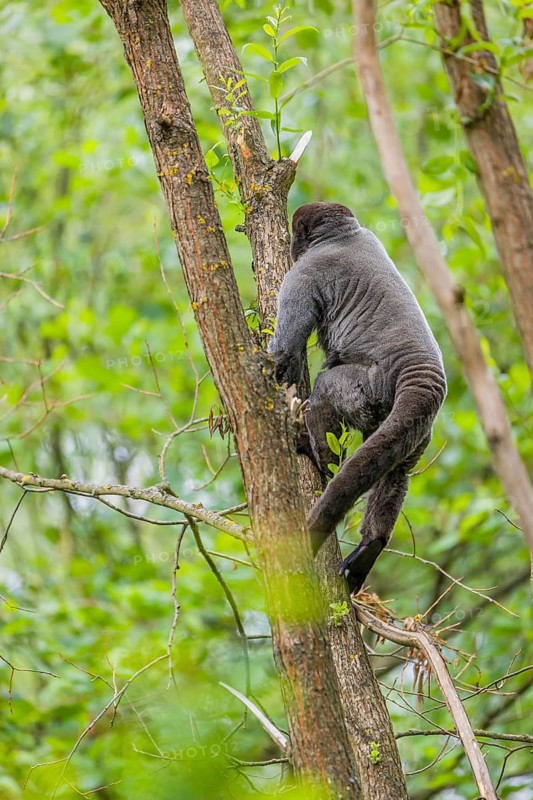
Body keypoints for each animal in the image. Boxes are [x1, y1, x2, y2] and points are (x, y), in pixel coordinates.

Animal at [269, 202, 446, 594]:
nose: (292, 245)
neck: (343, 235)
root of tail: (424, 382)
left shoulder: (305, 274)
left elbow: (287, 352)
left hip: (365, 388)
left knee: (325, 391)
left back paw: (318, 456)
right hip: (414, 433)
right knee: (393, 471)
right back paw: (371, 545)